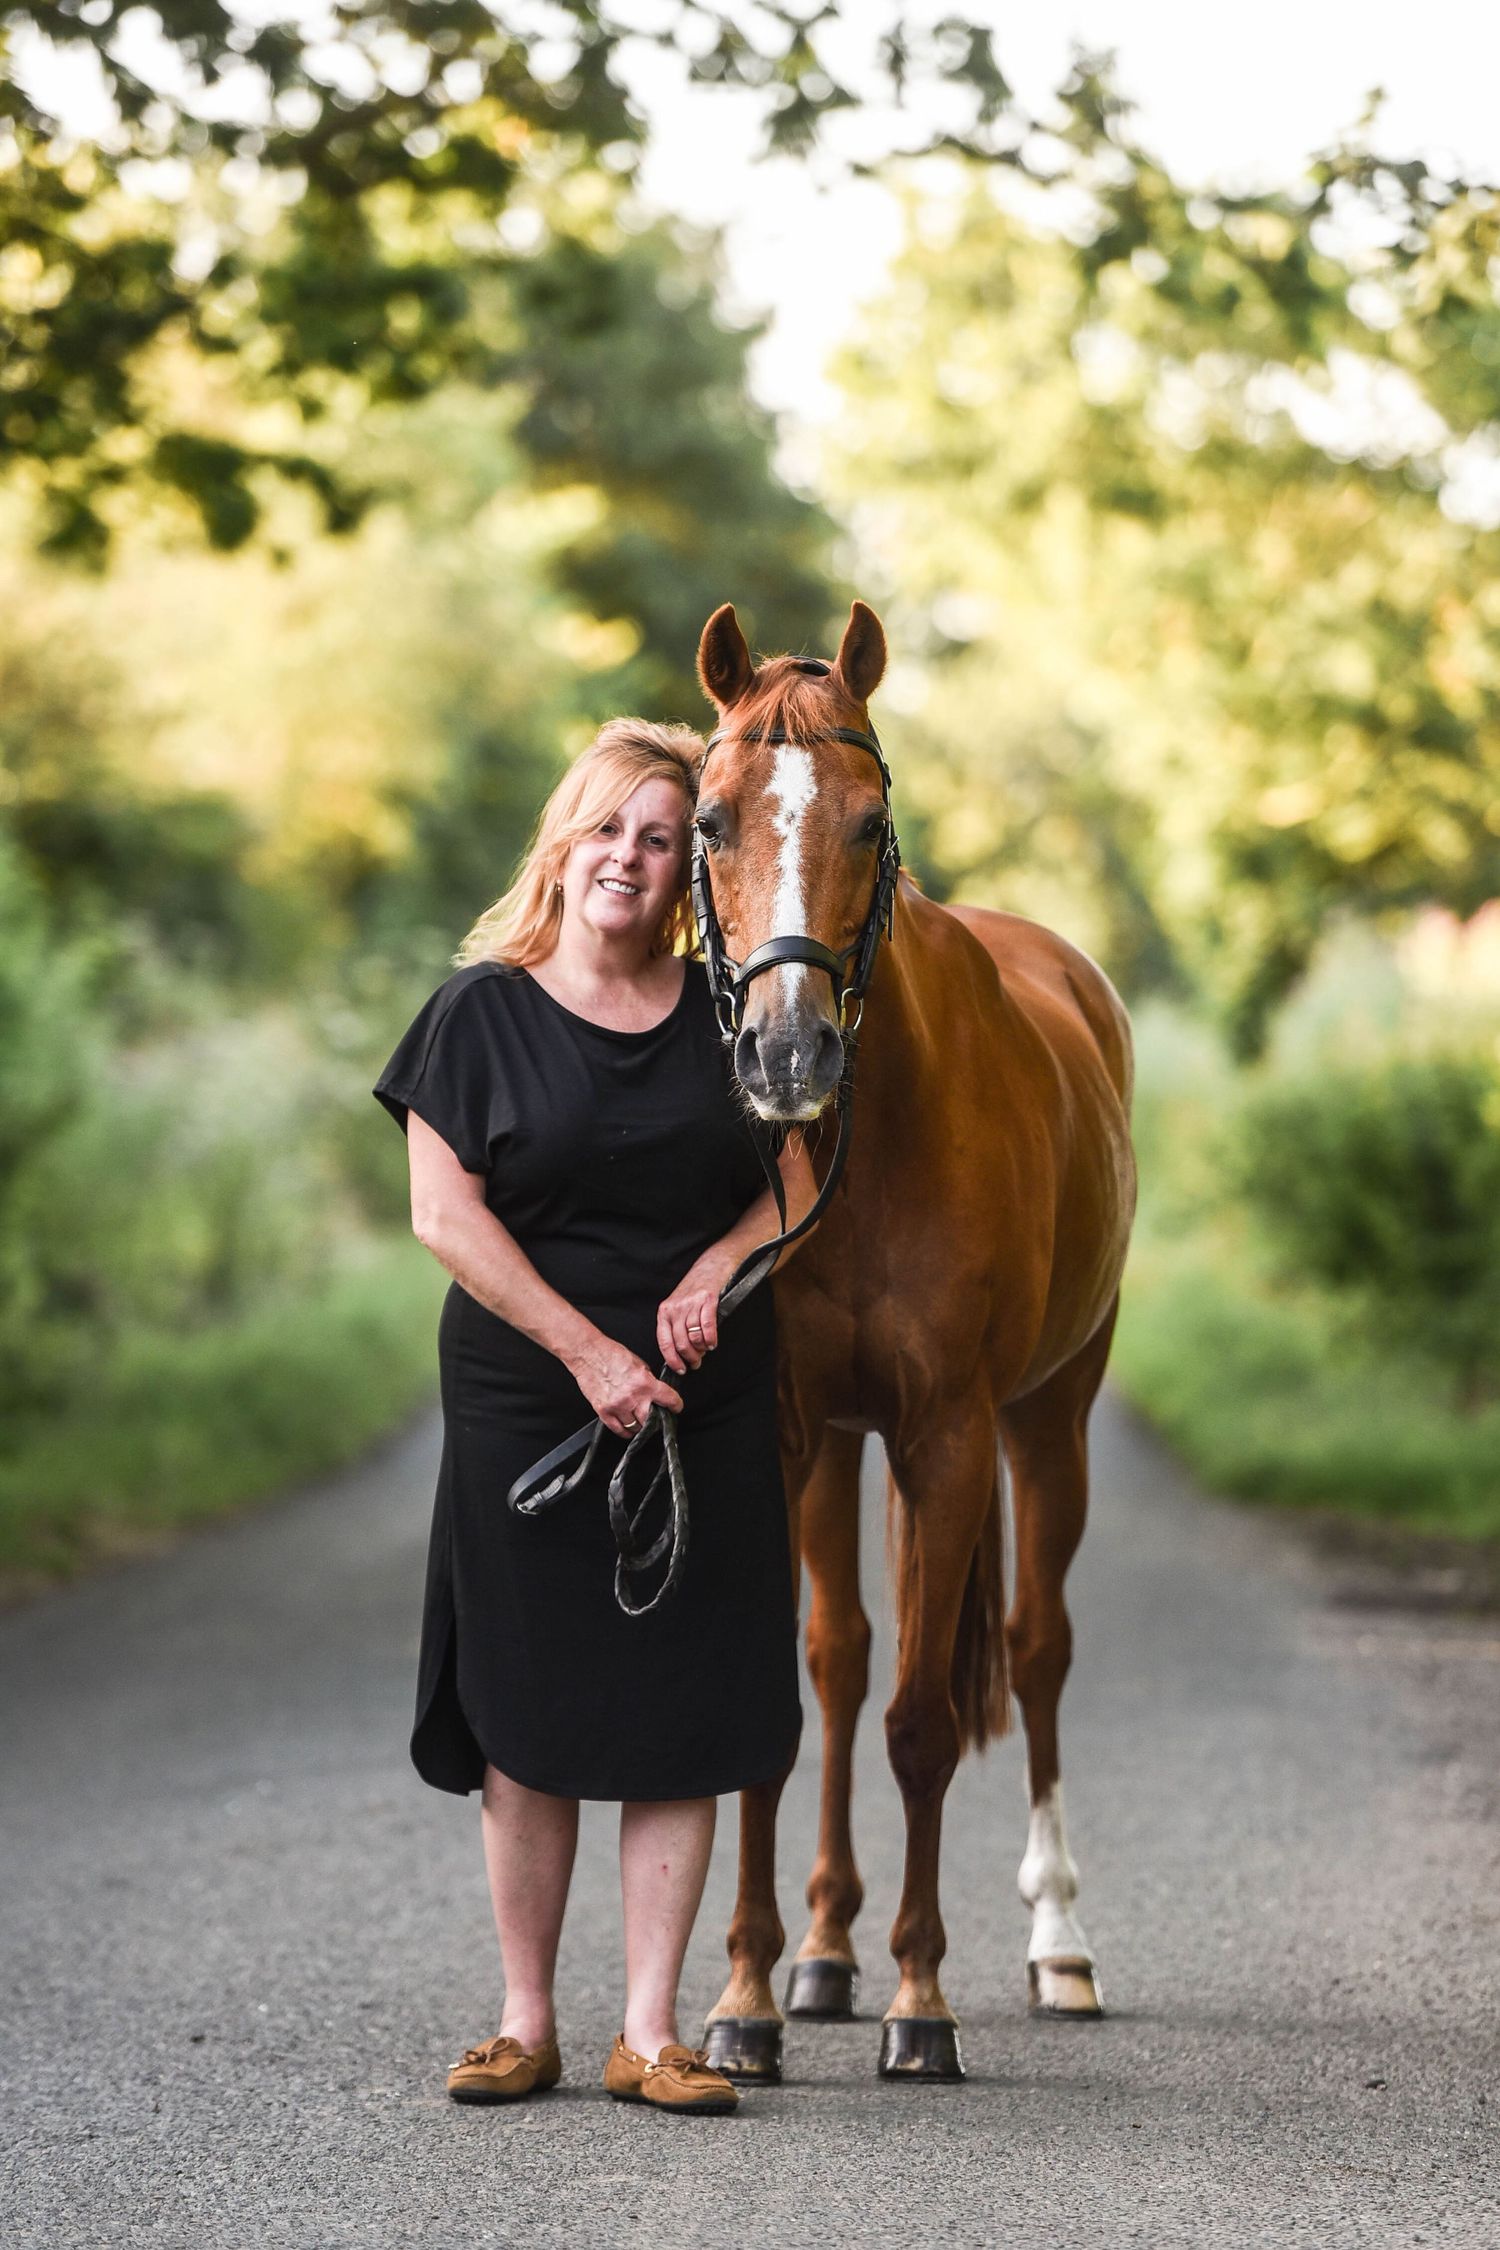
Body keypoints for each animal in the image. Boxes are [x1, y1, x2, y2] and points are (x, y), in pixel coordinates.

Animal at [693, 598, 1137, 2081]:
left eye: (871, 822)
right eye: (708, 819)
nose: (786, 1056)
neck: (864, 1145)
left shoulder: (948, 1433)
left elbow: (928, 1723)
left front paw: (922, 2005)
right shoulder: (782, 1434)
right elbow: (792, 1711)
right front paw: (749, 2000)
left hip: (1048, 1422)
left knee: (1038, 1645)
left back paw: (1059, 1942)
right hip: (839, 1445)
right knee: (839, 1661)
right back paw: (827, 1951)